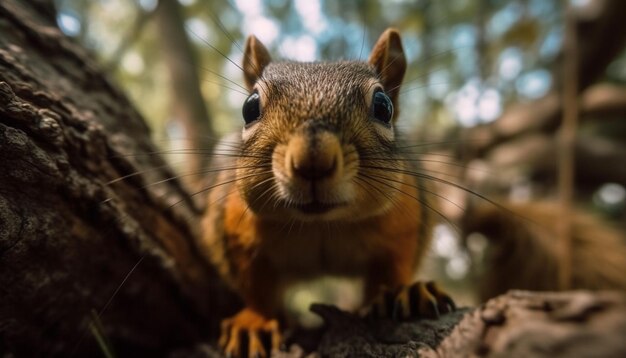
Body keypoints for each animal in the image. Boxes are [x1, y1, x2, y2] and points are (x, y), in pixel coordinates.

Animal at [202, 28, 450, 358]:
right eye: (249, 107)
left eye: (383, 106)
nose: (313, 159)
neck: (321, 224)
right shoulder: (235, 228)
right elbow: (255, 285)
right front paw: (255, 321)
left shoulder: (406, 219)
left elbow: (394, 266)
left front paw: (405, 290)